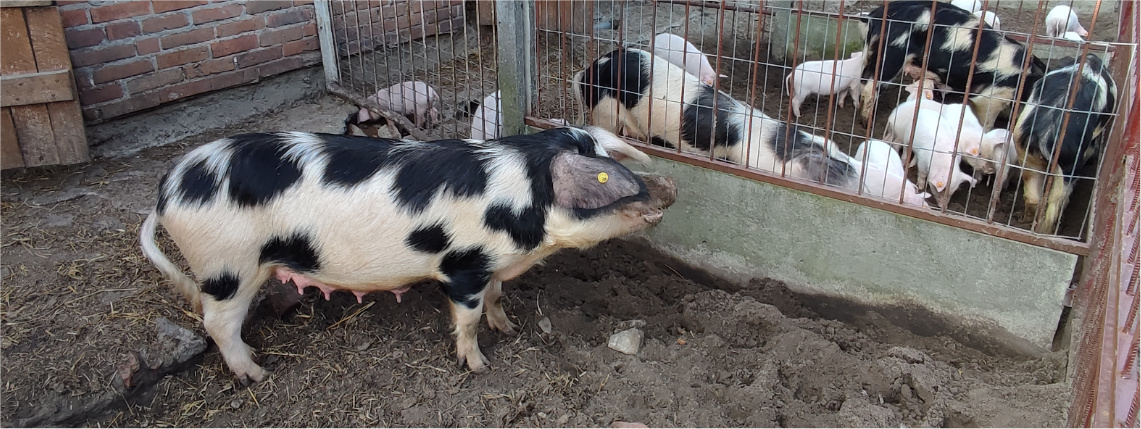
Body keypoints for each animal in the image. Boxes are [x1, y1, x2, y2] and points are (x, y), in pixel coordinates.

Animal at [140, 125, 675, 381]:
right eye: (610, 184)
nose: (667, 191)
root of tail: (167, 192)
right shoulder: (464, 267)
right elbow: (468, 319)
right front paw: (479, 365)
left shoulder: (493, 266)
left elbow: (498, 298)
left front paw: (510, 328)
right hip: (227, 266)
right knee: (216, 324)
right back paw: (256, 372)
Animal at [858, 0, 1045, 127]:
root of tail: (877, 14)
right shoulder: (997, 92)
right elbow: (986, 117)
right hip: (892, 55)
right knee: (870, 85)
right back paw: (867, 122)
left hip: (871, 51)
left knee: (863, 78)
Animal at [1017, 54, 1113, 235]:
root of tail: (1044, 135)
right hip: (1069, 165)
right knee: (1056, 201)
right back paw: (1048, 230)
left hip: (1025, 152)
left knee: (1033, 194)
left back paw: (1026, 223)